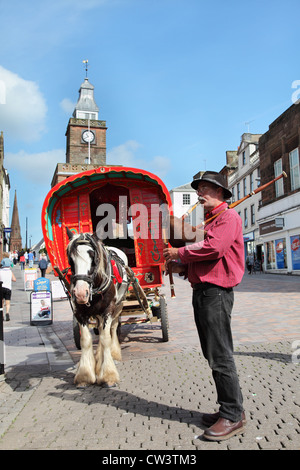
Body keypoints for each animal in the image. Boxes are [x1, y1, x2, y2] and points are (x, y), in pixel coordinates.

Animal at [67, 229, 129, 388]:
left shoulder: (108, 311)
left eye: (93, 256)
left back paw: (113, 354)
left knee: (112, 329)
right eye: (71, 259)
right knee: (100, 330)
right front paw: (84, 375)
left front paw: (108, 375)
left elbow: (106, 338)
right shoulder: (79, 313)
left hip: (118, 306)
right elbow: (86, 340)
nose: (80, 293)